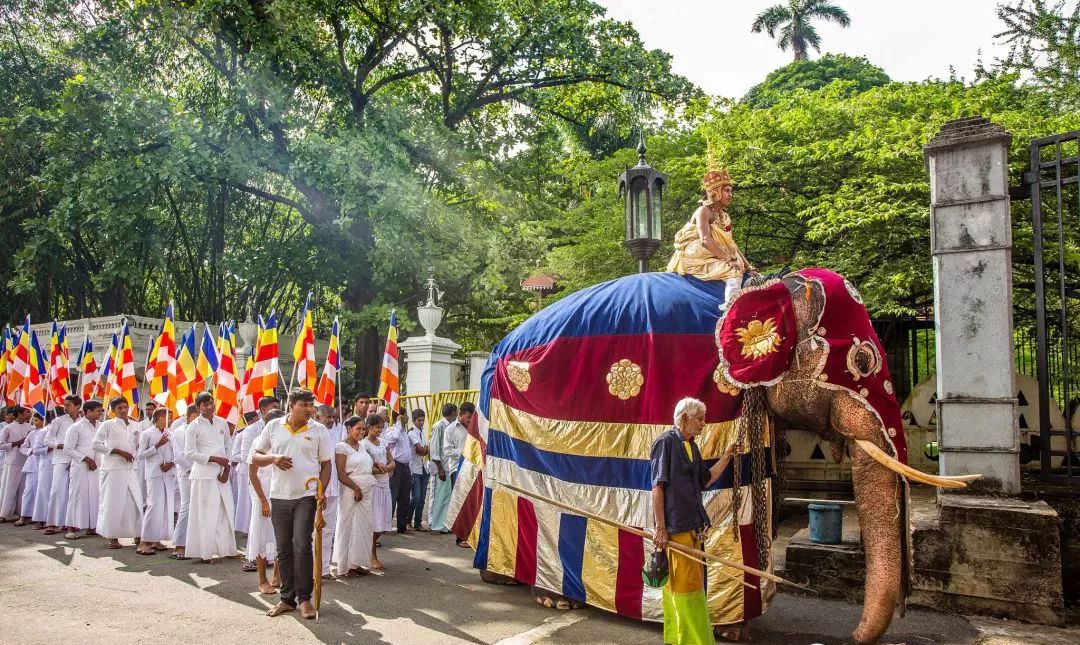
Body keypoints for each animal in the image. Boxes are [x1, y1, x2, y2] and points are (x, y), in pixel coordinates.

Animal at [447, 265, 980, 643]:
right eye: (863, 361)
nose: (853, 636)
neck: (766, 283)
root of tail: (493, 353)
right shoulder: (717, 392)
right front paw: (730, 628)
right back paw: (551, 599)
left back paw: (508, 579)